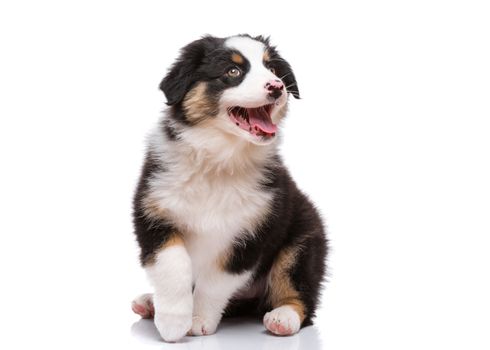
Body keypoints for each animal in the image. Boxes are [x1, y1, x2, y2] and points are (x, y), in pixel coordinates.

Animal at [132, 33, 328, 342]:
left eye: (272, 69)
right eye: (233, 72)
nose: (277, 86)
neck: (220, 160)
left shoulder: (253, 233)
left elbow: (215, 280)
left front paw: (197, 319)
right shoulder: (153, 214)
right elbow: (173, 264)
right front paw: (173, 320)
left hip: (304, 240)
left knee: (299, 292)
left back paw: (283, 318)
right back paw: (150, 303)